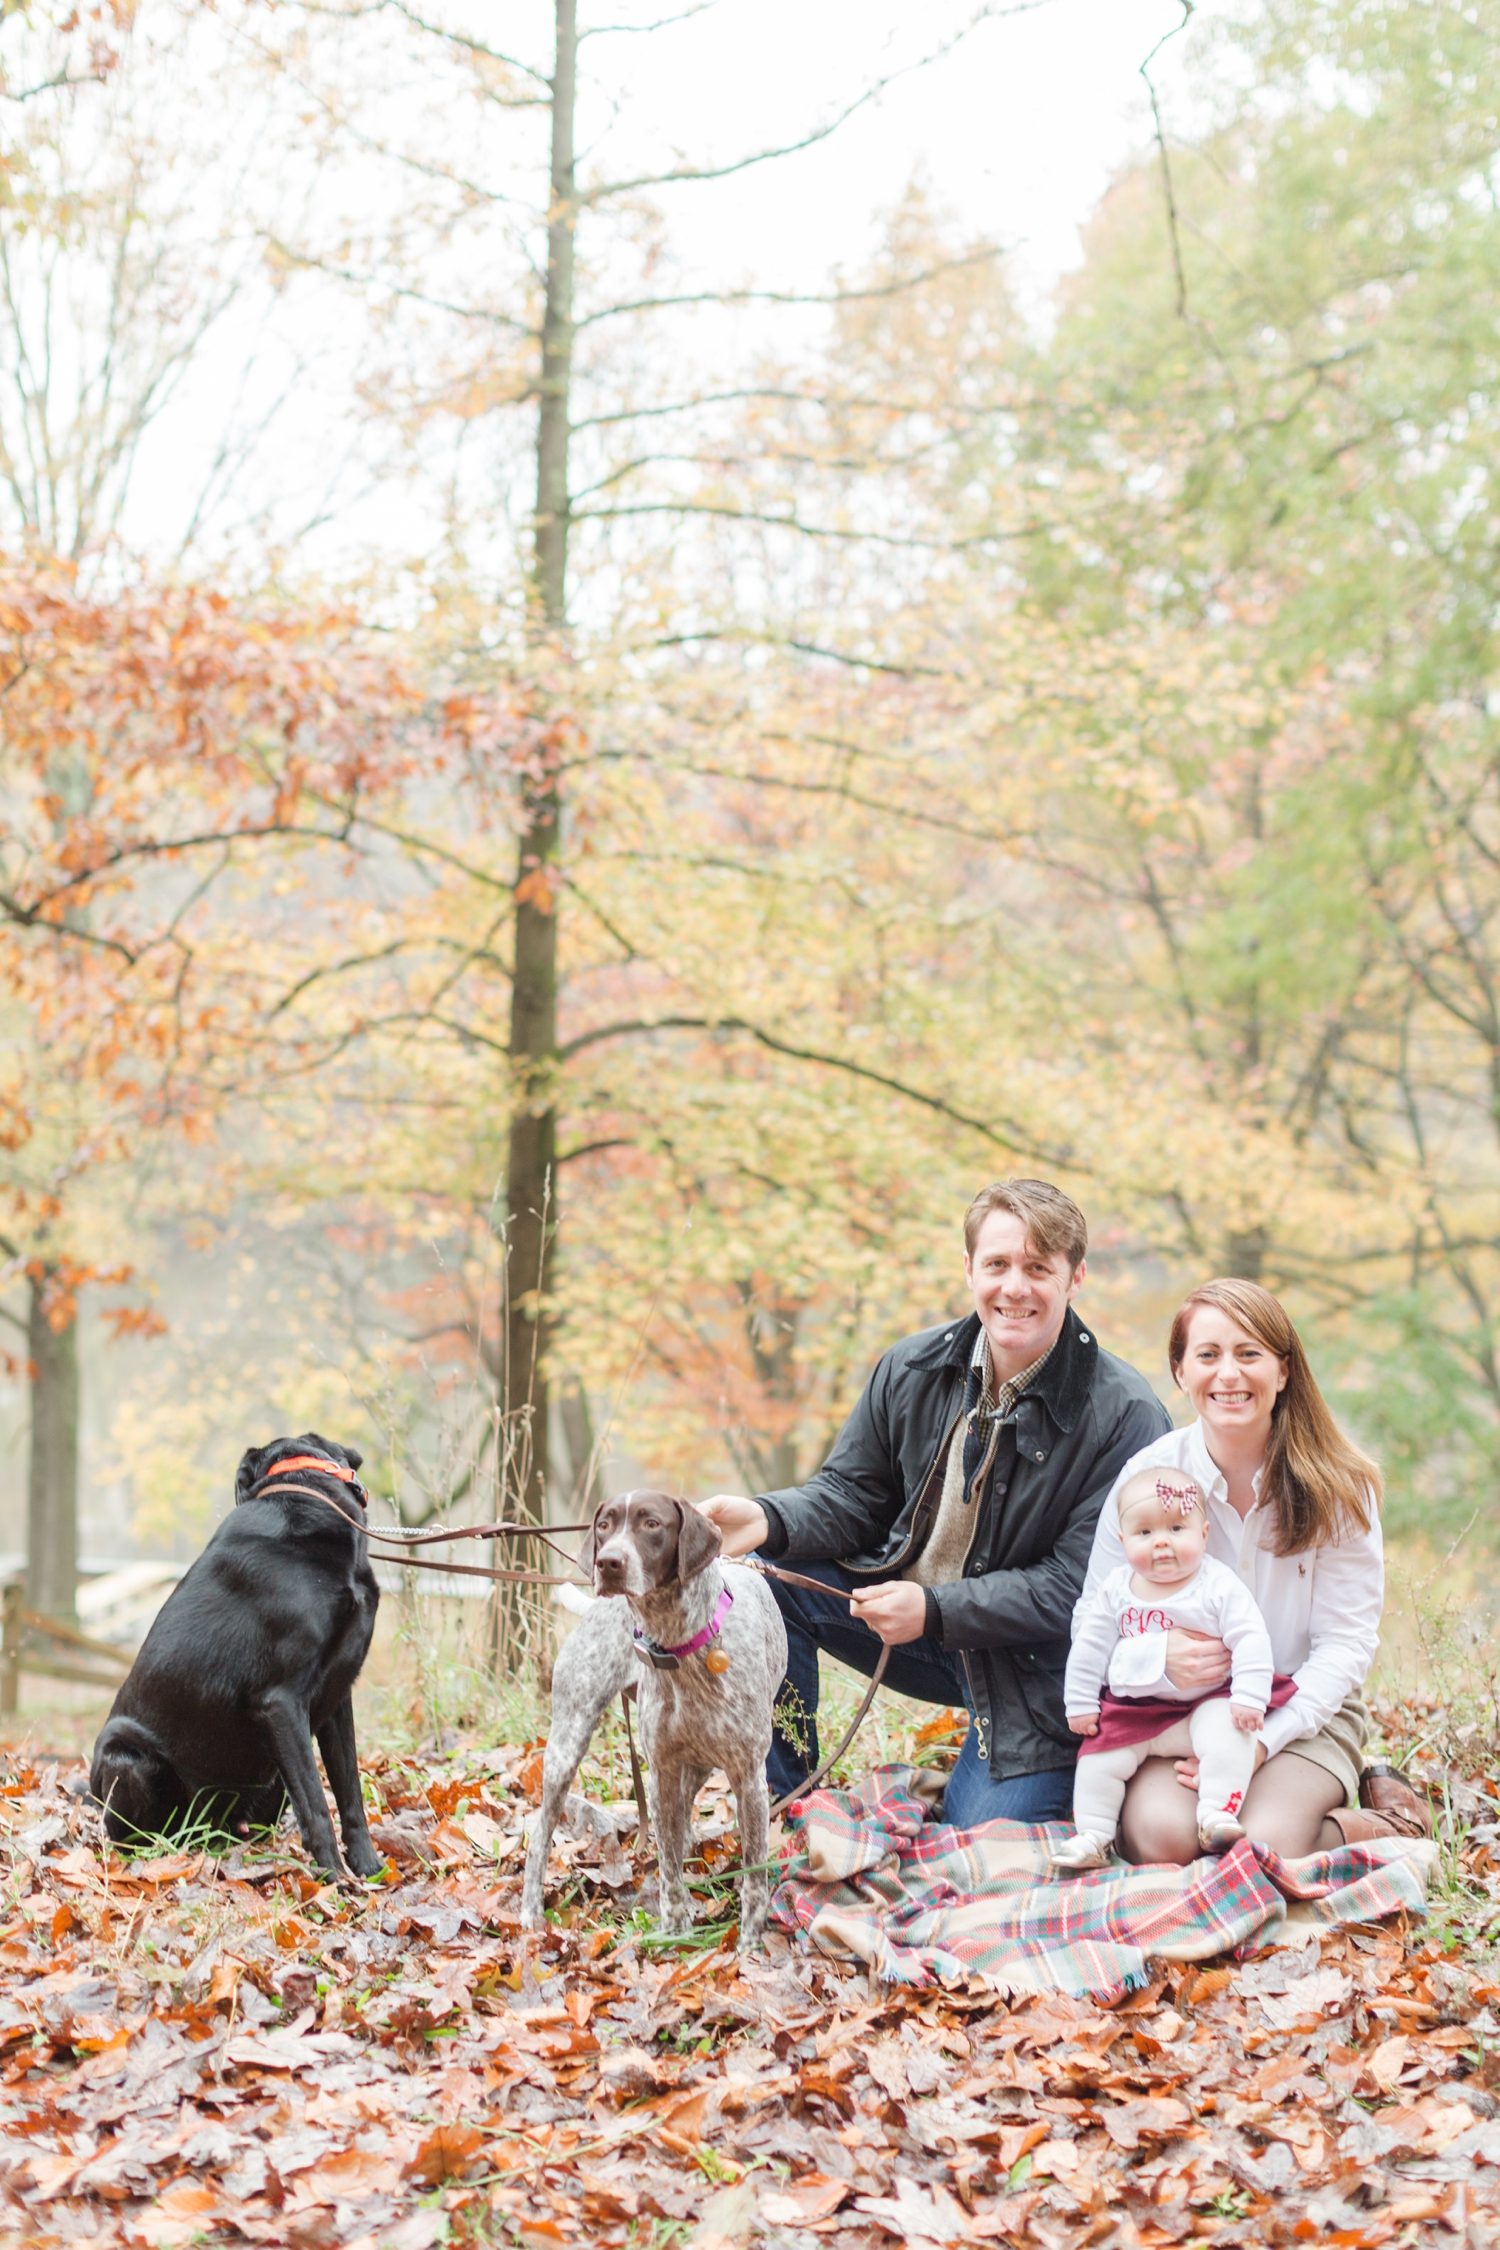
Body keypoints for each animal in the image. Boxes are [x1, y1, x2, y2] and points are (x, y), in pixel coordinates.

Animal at [91, 1422, 384, 1881]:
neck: (303, 1488)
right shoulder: (280, 1700)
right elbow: (317, 1804)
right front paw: (333, 1880)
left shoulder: (338, 1696)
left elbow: (349, 1792)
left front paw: (368, 1869)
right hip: (126, 1753)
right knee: (130, 1837)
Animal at [519, 1494, 787, 1953]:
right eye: (605, 1525)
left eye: (652, 1524)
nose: (608, 1563)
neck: (681, 1642)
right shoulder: (661, 1773)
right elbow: (669, 1870)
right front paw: (675, 1936)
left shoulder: (748, 1778)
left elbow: (753, 1874)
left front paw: (749, 1945)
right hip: (567, 1747)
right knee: (539, 1839)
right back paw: (530, 1913)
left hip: (695, 1769)